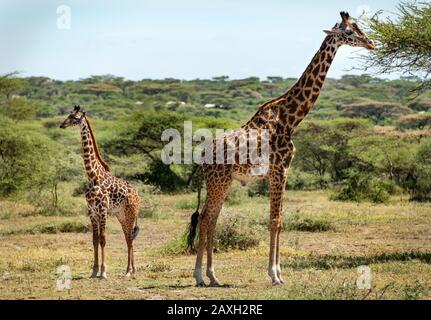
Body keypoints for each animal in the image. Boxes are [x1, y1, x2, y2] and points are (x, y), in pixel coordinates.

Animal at [60, 106, 141, 278]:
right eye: (68, 115)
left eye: (75, 118)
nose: (62, 125)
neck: (92, 176)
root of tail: (137, 194)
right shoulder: (91, 211)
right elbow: (94, 240)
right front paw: (94, 270)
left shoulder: (103, 210)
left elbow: (103, 239)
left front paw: (103, 271)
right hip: (121, 215)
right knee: (128, 237)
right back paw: (130, 270)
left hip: (131, 213)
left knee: (130, 238)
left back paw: (130, 271)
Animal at [187, 11, 376, 286]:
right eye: (350, 32)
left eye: (358, 28)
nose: (371, 43)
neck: (289, 118)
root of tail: (201, 156)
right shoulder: (280, 171)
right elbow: (275, 221)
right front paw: (274, 275)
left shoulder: (282, 172)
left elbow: (280, 220)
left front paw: (279, 273)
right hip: (218, 182)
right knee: (204, 218)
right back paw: (200, 276)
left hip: (224, 182)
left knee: (211, 218)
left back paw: (213, 276)